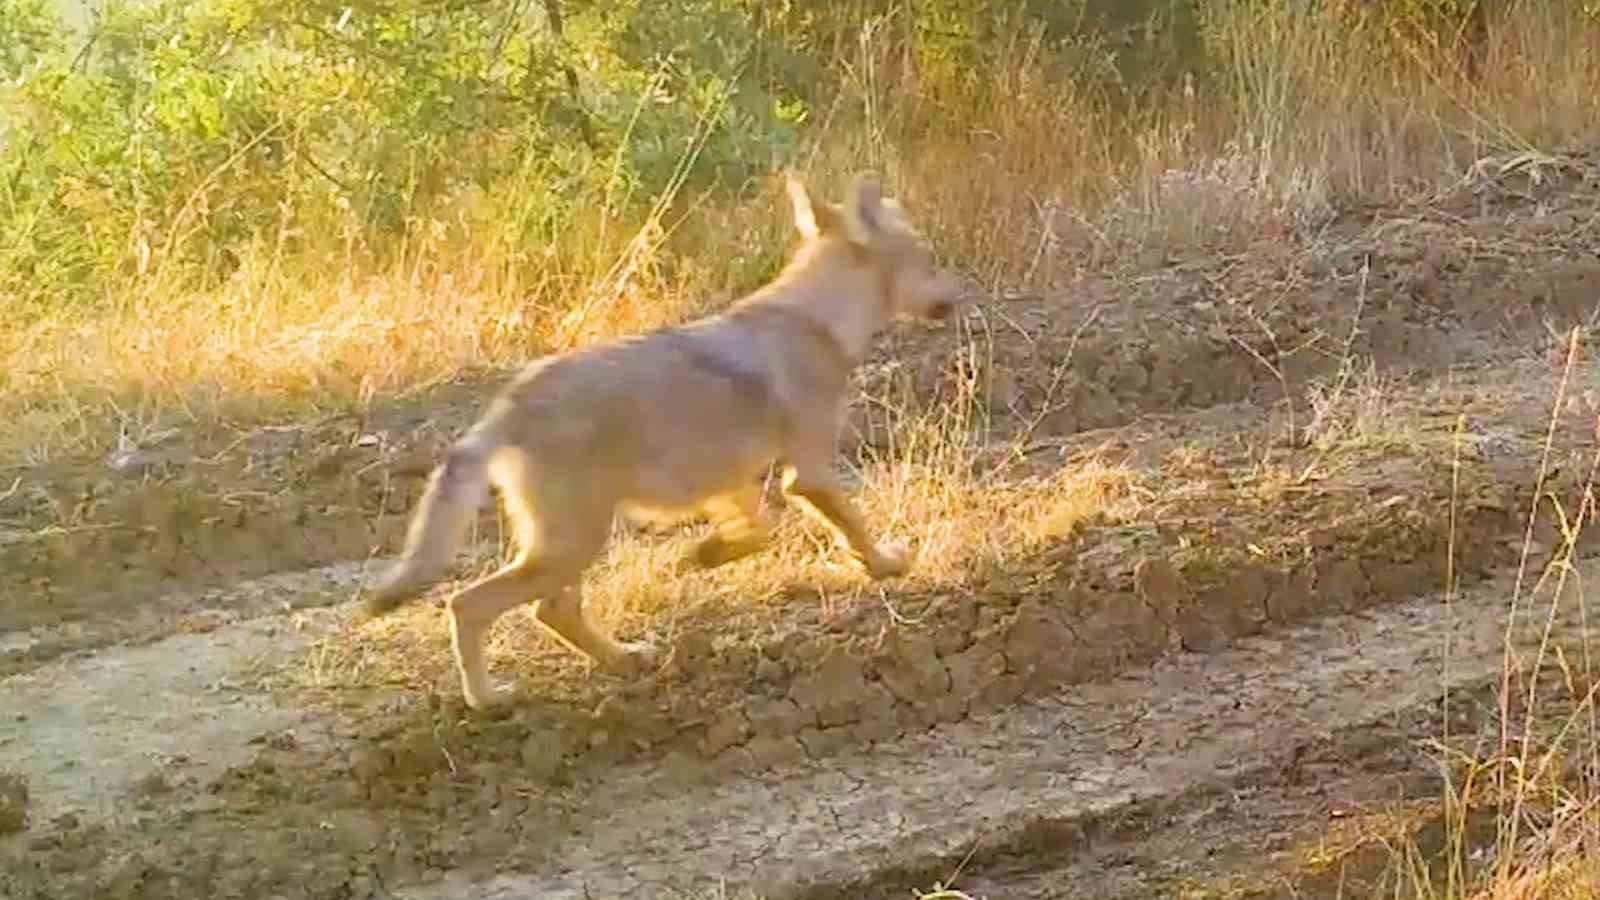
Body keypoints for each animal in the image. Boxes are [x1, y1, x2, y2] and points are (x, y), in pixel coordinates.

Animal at [364, 173, 960, 707]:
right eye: (930, 259)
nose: (959, 294)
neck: (816, 320)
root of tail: (509, 405)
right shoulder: (807, 473)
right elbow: (851, 528)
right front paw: (886, 563)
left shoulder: (730, 482)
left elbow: (759, 531)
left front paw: (707, 553)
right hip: (571, 546)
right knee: (469, 604)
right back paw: (489, 699)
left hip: (567, 546)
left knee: (550, 611)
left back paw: (627, 658)